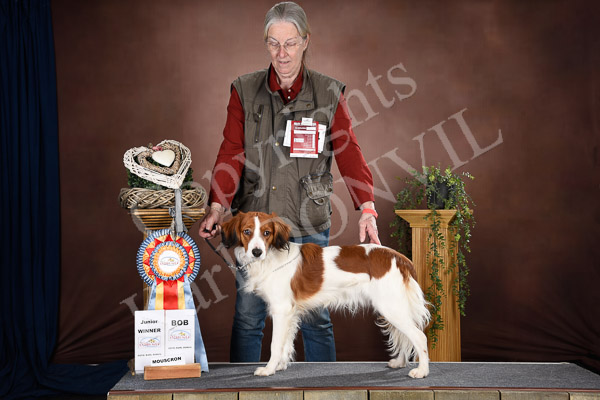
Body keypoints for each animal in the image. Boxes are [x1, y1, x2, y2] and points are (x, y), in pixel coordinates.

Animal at [221, 211, 430, 378]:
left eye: (267, 233)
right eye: (247, 231)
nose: (257, 252)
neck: (271, 258)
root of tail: (398, 257)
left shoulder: (281, 310)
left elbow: (275, 344)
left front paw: (269, 369)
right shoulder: (290, 313)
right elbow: (286, 343)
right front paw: (280, 366)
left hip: (391, 307)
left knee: (419, 337)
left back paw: (422, 371)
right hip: (393, 308)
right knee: (406, 335)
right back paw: (400, 362)